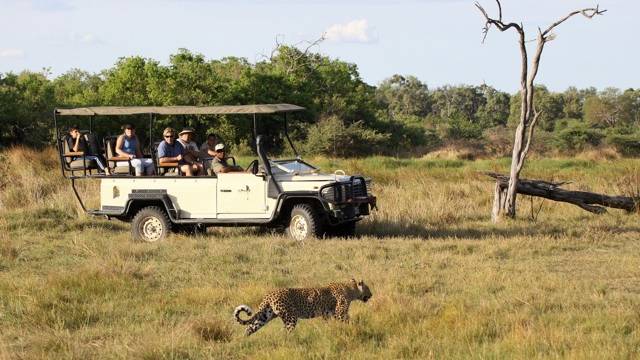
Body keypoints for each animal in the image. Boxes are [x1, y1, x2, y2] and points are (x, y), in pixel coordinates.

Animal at [234, 280, 372, 336]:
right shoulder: (340, 313)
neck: (351, 290)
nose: (371, 295)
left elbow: (328, 324)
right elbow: (349, 321)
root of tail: (269, 294)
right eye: (368, 288)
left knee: (249, 328)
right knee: (285, 333)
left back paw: (242, 342)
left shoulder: (327, 314)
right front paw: (357, 328)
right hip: (291, 317)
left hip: (265, 316)